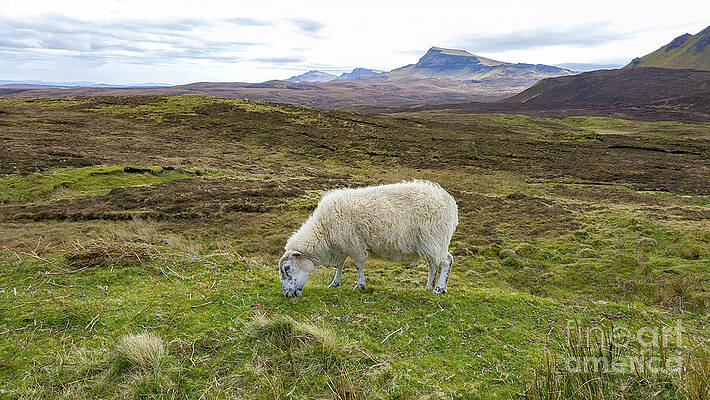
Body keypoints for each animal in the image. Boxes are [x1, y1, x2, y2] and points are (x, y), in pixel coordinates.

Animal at [278, 180, 458, 297]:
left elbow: (358, 265)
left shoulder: (354, 245)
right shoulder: (342, 246)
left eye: (287, 268)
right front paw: (335, 283)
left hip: (434, 239)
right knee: (433, 265)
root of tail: (448, 201)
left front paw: (360, 285)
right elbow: (339, 265)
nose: (287, 295)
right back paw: (429, 287)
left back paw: (439, 289)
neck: (323, 230)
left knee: (446, 261)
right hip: (430, 244)